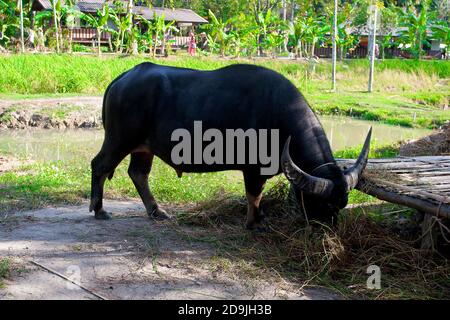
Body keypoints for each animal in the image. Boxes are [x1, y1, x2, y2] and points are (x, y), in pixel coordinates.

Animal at [89, 62, 370, 228]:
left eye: (343, 204)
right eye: (322, 204)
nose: (327, 231)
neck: (278, 113)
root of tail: (123, 78)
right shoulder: (253, 169)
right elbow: (254, 195)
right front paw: (254, 223)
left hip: (143, 147)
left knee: (138, 173)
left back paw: (156, 211)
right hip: (119, 139)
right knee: (100, 165)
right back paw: (99, 209)